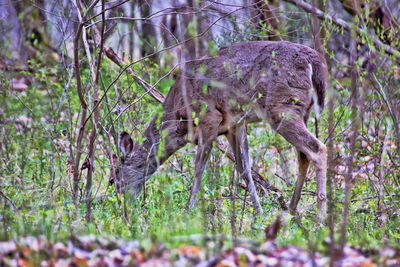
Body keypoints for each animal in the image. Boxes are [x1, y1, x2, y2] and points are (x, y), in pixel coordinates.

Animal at [119, 40, 328, 222]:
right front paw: (258, 213)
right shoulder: (234, 125)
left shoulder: (209, 116)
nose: (120, 208)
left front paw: (188, 211)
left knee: (318, 149)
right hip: (302, 111)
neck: (178, 118)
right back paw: (292, 211)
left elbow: (198, 169)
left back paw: (319, 218)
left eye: (114, 180)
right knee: (303, 155)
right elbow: (244, 170)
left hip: (282, 107)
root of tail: (315, 62)